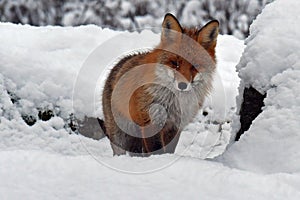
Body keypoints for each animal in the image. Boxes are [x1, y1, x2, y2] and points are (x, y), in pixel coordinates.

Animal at [101, 13, 218, 156]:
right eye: (175, 63)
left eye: (195, 66)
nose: (182, 85)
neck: (173, 102)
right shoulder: (150, 120)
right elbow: (155, 149)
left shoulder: (174, 126)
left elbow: (168, 150)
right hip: (120, 135)